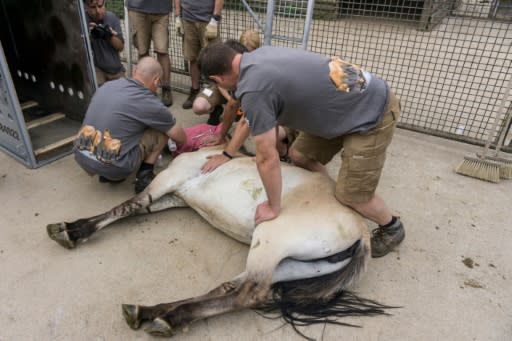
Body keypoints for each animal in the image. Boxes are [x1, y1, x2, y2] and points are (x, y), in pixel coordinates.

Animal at [48, 146, 392, 338]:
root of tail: (361, 232)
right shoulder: (175, 197)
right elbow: (138, 207)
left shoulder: (168, 182)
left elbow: (129, 205)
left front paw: (71, 230)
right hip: (294, 265)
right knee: (232, 288)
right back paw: (155, 313)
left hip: (270, 242)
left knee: (249, 294)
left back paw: (166, 317)